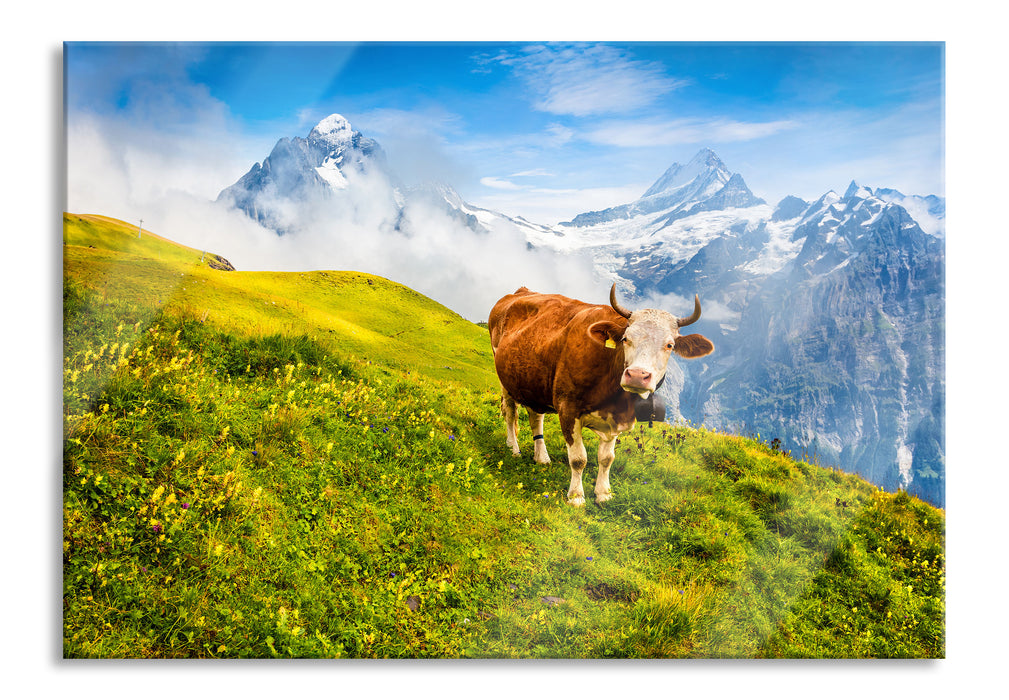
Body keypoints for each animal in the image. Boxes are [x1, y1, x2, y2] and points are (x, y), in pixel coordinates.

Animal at [490, 282, 714, 506]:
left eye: (670, 345)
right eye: (625, 338)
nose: (637, 375)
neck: (614, 398)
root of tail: (521, 291)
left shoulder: (616, 419)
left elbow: (607, 459)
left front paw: (603, 494)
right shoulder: (567, 408)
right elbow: (578, 459)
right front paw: (576, 497)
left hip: (532, 381)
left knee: (536, 416)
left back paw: (541, 457)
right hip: (504, 379)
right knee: (510, 413)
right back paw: (514, 448)